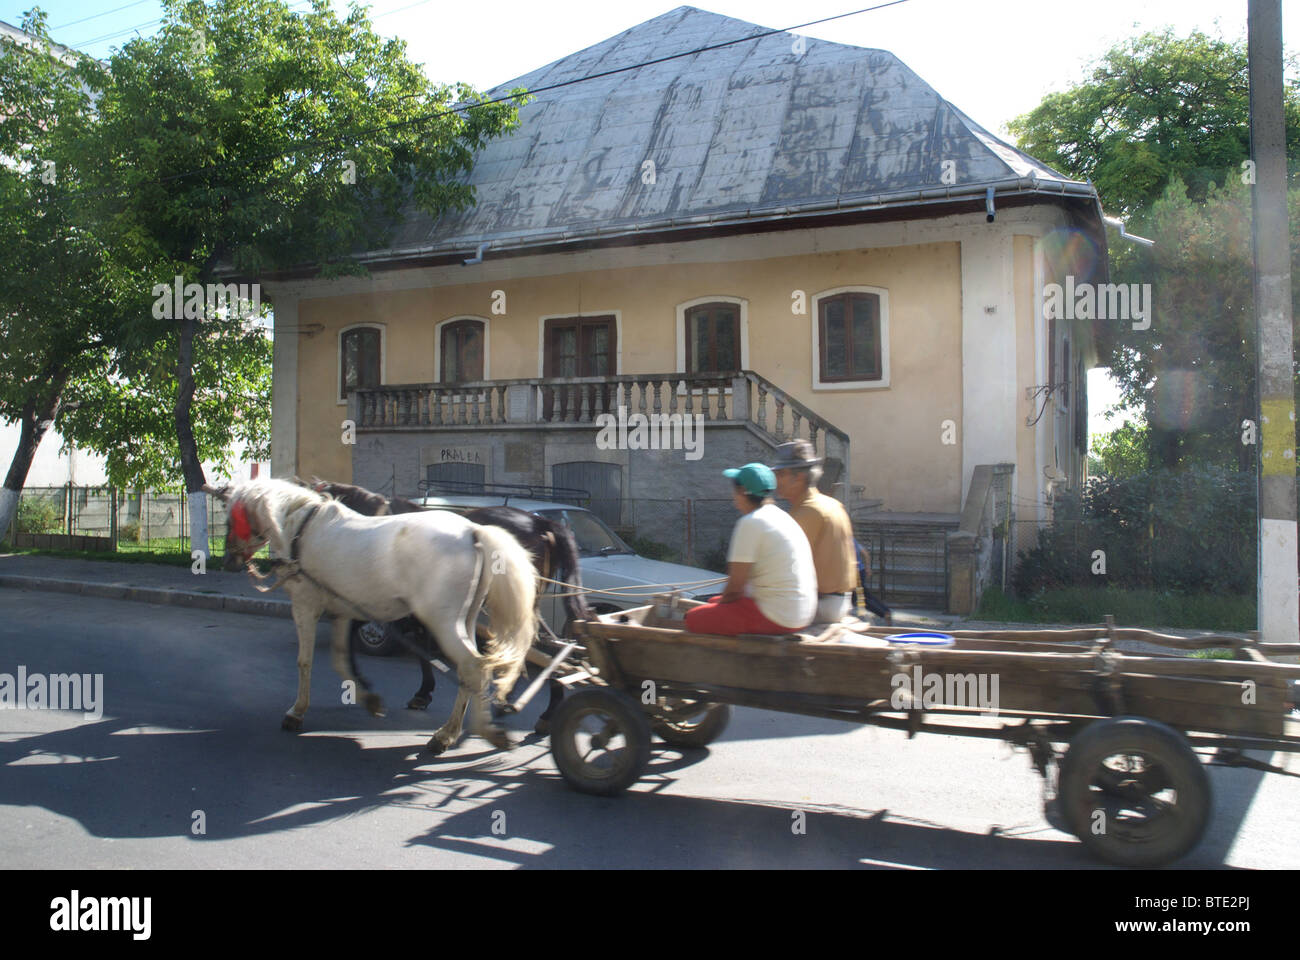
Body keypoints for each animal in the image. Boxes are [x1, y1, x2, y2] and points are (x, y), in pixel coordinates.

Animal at [210, 476, 535, 749]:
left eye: (231, 518)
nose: (228, 560)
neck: (302, 530)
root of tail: (473, 531)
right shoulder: (343, 612)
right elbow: (341, 660)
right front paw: (369, 699)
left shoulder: (304, 605)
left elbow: (305, 661)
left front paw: (296, 711)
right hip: (465, 621)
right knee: (472, 670)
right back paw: (452, 730)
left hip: (443, 622)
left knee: (473, 666)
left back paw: (469, 731)